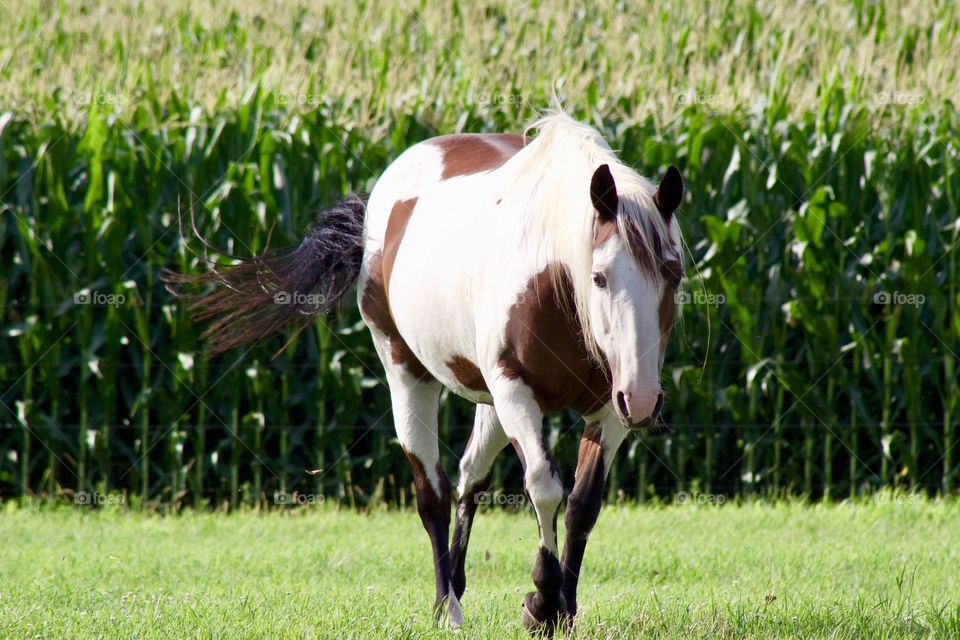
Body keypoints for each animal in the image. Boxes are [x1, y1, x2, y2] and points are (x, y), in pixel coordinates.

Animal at [165, 110, 684, 633]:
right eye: (599, 277)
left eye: (674, 274)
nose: (645, 400)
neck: (555, 283)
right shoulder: (516, 391)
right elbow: (544, 487)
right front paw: (541, 601)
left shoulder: (608, 409)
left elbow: (582, 505)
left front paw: (562, 609)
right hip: (408, 375)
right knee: (432, 491)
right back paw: (446, 607)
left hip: (493, 403)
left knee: (470, 478)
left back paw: (457, 581)